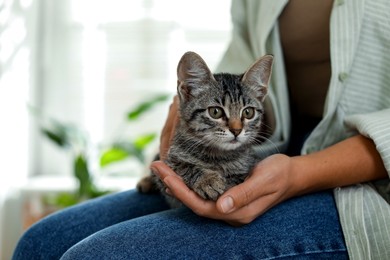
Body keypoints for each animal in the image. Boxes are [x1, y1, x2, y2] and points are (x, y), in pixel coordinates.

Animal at [137, 51, 274, 208]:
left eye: (248, 112)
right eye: (215, 112)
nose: (236, 130)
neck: (218, 156)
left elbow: (239, 177)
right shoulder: (169, 161)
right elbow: (184, 166)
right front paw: (207, 180)